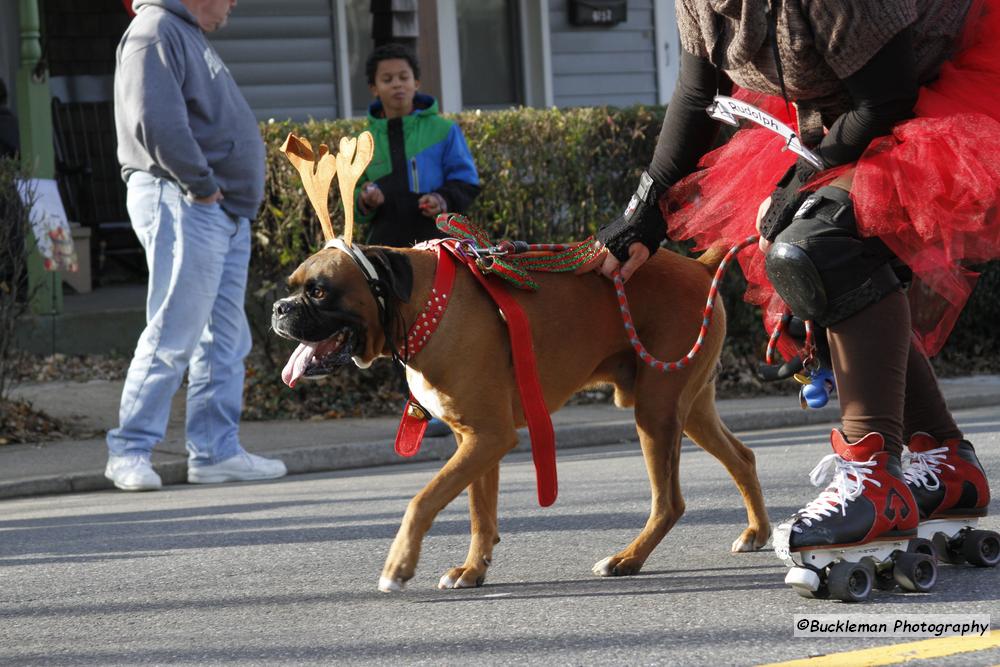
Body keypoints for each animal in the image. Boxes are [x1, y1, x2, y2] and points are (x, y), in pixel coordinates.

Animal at [274, 243, 772, 592]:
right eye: (292, 285)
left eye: (319, 290)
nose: (279, 308)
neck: (422, 305)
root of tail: (700, 265)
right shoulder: (475, 442)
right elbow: (481, 513)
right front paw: (472, 570)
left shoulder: (488, 439)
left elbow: (423, 501)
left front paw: (399, 566)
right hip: (688, 408)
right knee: (742, 458)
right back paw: (757, 532)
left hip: (657, 410)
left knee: (670, 503)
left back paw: (627, 560)